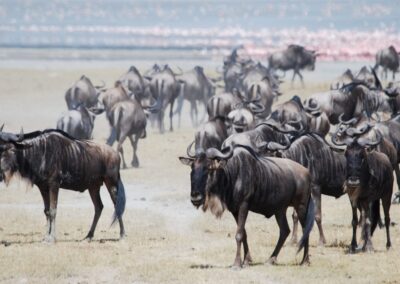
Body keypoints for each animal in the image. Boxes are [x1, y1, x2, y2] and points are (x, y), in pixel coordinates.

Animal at [180, 145, 314, 268]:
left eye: (209, 168)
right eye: (192, 168)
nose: (195, 198)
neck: (232, 175)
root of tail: (307, 172)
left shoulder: (244, 206)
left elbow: (239, 234)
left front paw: (237, 263)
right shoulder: (234, 210)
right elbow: (243, 233)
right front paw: (247, 260)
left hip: (301, 207)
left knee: (305, 229)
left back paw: (305, 261)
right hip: (280, 210)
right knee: (285, 230)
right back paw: (270, 260)